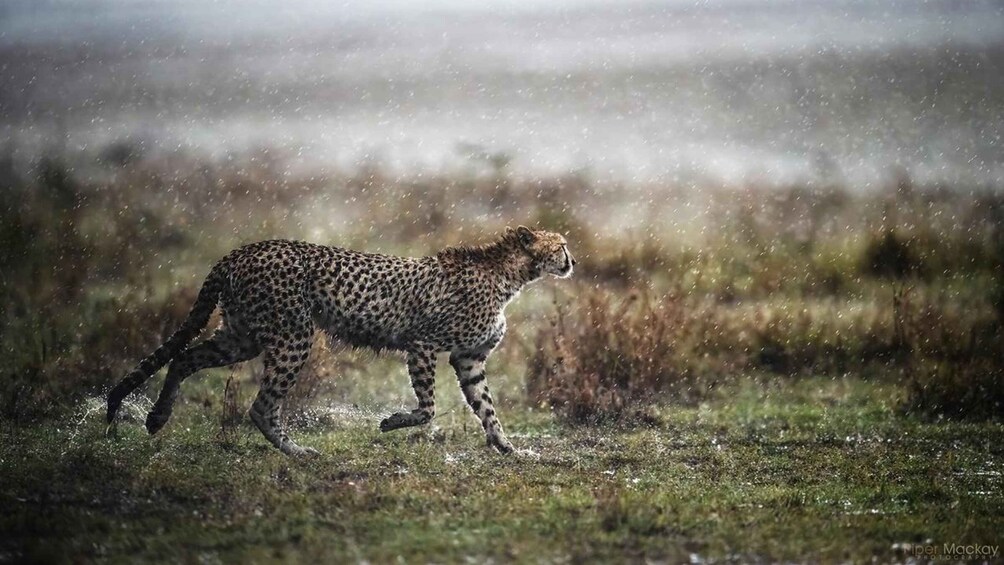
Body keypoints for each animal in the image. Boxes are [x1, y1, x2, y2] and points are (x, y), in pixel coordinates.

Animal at [106, 226, 575, 457]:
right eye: (561, 246)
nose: (573, 260)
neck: (511, 275)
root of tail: (245, 249)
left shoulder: (469, 359)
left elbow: (487, 409)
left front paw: (509, 449)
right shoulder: (422, 343)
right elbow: (427, 407)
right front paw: (390, 422)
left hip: (243, 336)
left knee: (184, 359)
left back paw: (158, 418)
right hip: (292, 335)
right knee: (260, 405)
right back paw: (296, 451)